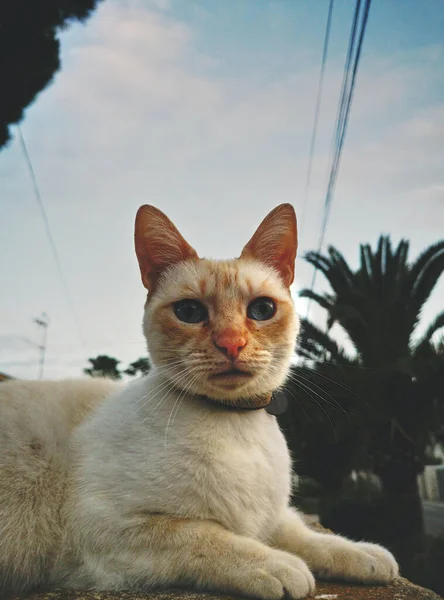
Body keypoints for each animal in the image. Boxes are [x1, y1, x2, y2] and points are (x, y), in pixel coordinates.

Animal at [0, 204, 398, 596]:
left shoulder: (270, 516)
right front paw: (280, 566)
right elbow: (208, 535)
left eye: (262, 310)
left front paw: (366, 556)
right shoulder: (109, 527)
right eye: (189, 312)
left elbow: (304, 533)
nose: (232, 344)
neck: (236, 422)